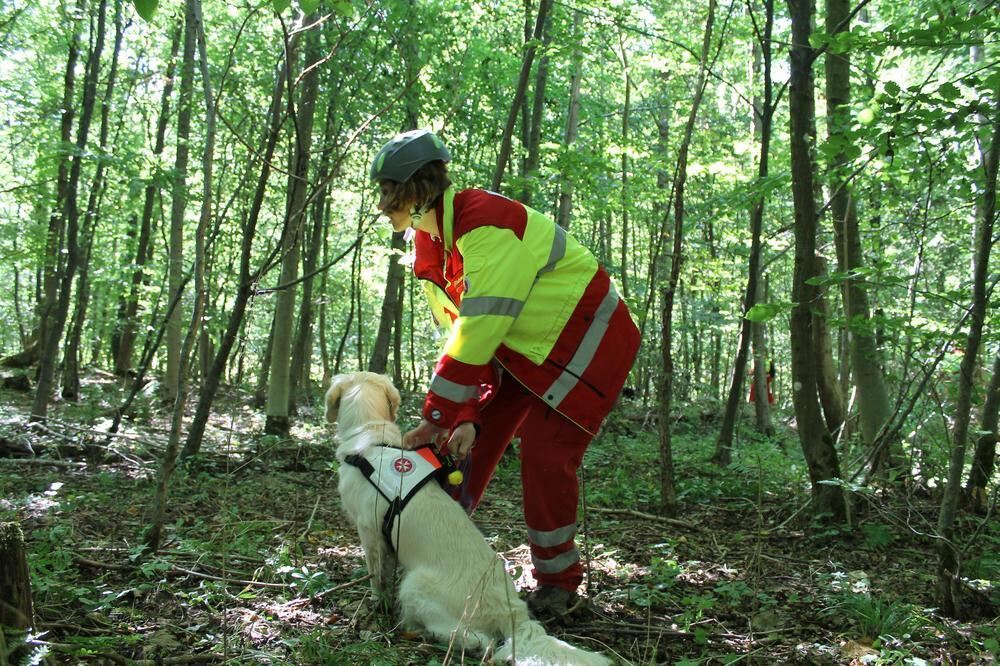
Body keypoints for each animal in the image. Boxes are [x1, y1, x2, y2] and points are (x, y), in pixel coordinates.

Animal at [326, 368, 608, 664]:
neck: (371, 435)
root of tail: (513, 612)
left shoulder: (369, 532)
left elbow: (377, 576)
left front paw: (376, 604)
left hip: (415, 583)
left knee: (479, 640)